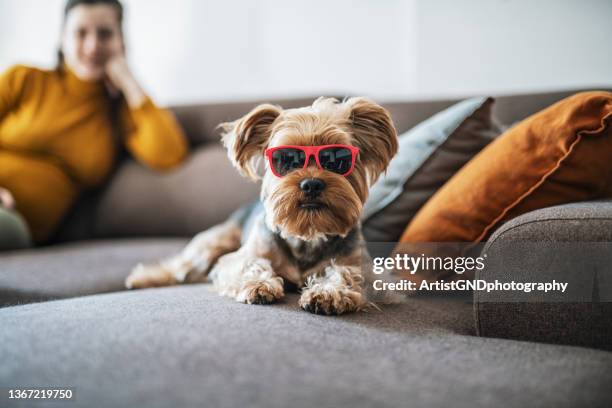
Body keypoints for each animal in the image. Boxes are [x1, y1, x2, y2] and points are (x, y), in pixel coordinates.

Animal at [126, 96, 400, 316]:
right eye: (287, 159)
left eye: (337, 160)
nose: (312, 184)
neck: (307, 236)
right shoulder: (239, 258)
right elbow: (250, 263)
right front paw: (259, 284)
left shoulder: (366, 269)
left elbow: (347, 273)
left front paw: (328, 293)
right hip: (213, 244)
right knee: (180, 266)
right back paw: (141, 279)